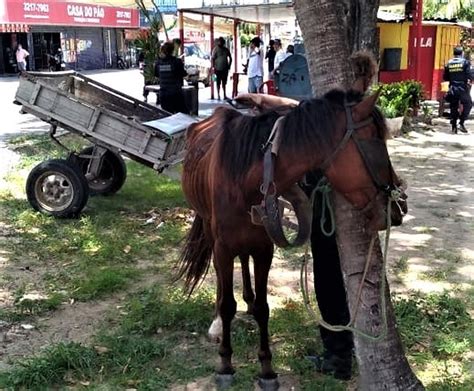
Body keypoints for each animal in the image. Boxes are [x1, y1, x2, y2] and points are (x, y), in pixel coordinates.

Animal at [178, 87, 404, 388]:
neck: (246, 180)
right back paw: (218, 322)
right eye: (377, 141)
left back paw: (247, 300)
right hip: (211, 233)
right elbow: (227, 305)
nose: (397, 208)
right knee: (222, 283)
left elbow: (263, 307)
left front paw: (267, 370)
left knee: (245, 263)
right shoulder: (223, 249)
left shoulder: (264, 249)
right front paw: (225, 365)